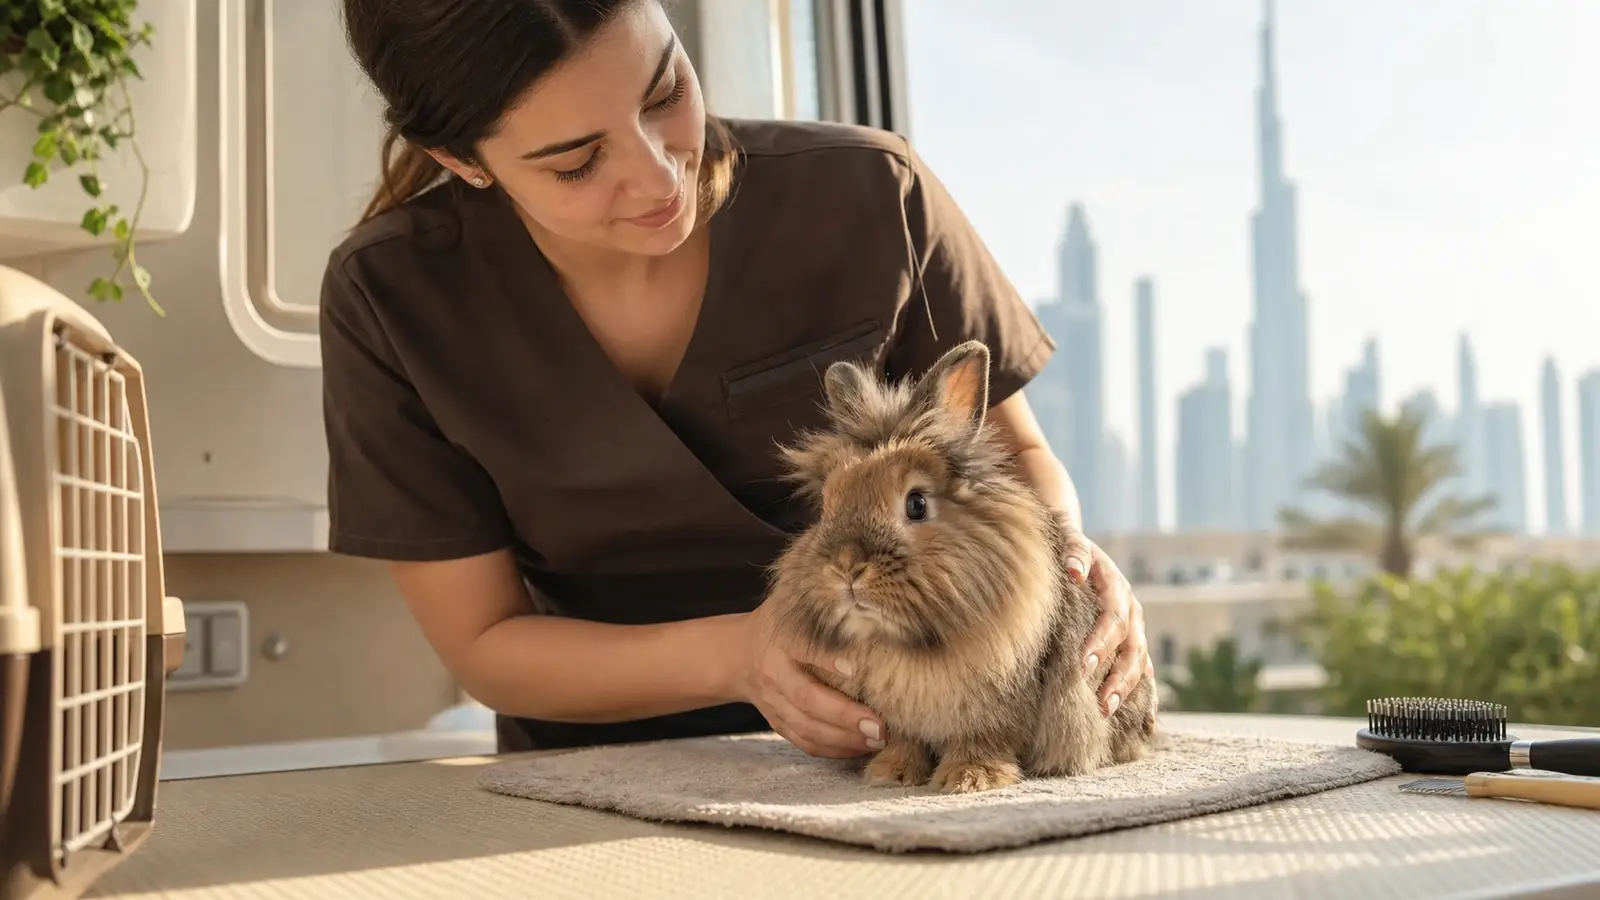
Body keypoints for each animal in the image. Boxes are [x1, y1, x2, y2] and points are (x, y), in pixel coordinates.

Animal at [761, 340, 1159, 794]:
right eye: (827, 505)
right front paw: (891, 774)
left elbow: (984, 737)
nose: (846, 568)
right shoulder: (894, 718)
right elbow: (903, 739)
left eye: (916, 504)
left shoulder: (1000, 705)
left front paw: (971, 778)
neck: (903, 644)